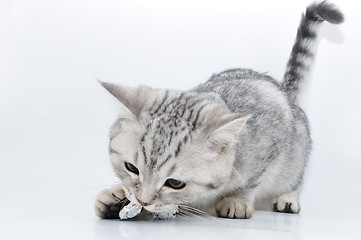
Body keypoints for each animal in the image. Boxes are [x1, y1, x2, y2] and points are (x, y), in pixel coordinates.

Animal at [94, 0, 342, 219]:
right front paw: (115, 196)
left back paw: (287, 198)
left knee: (294, 179)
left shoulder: (270, 144)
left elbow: (252, 181)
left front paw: (237, 200)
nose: (143, 201)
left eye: (175, 183)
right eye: (131, 167)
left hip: (296, 155)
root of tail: (284, 90)